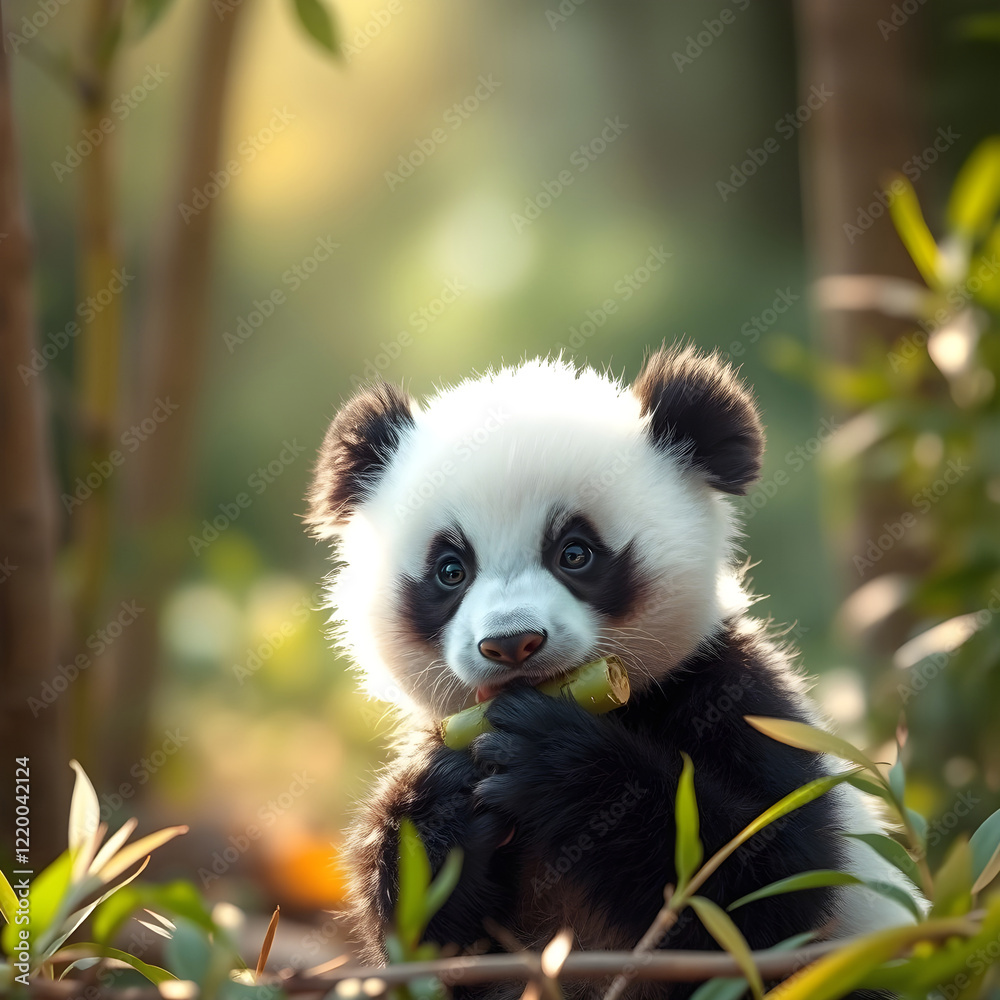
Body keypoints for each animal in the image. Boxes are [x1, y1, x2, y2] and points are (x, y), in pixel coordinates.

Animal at [305, 346, 917, 999]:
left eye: (575, 553)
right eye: (451, 569)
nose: (512, 643)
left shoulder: (735, 698)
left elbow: (773, 888)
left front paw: (555, 764)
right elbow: (426, 947)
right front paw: (437, 803)